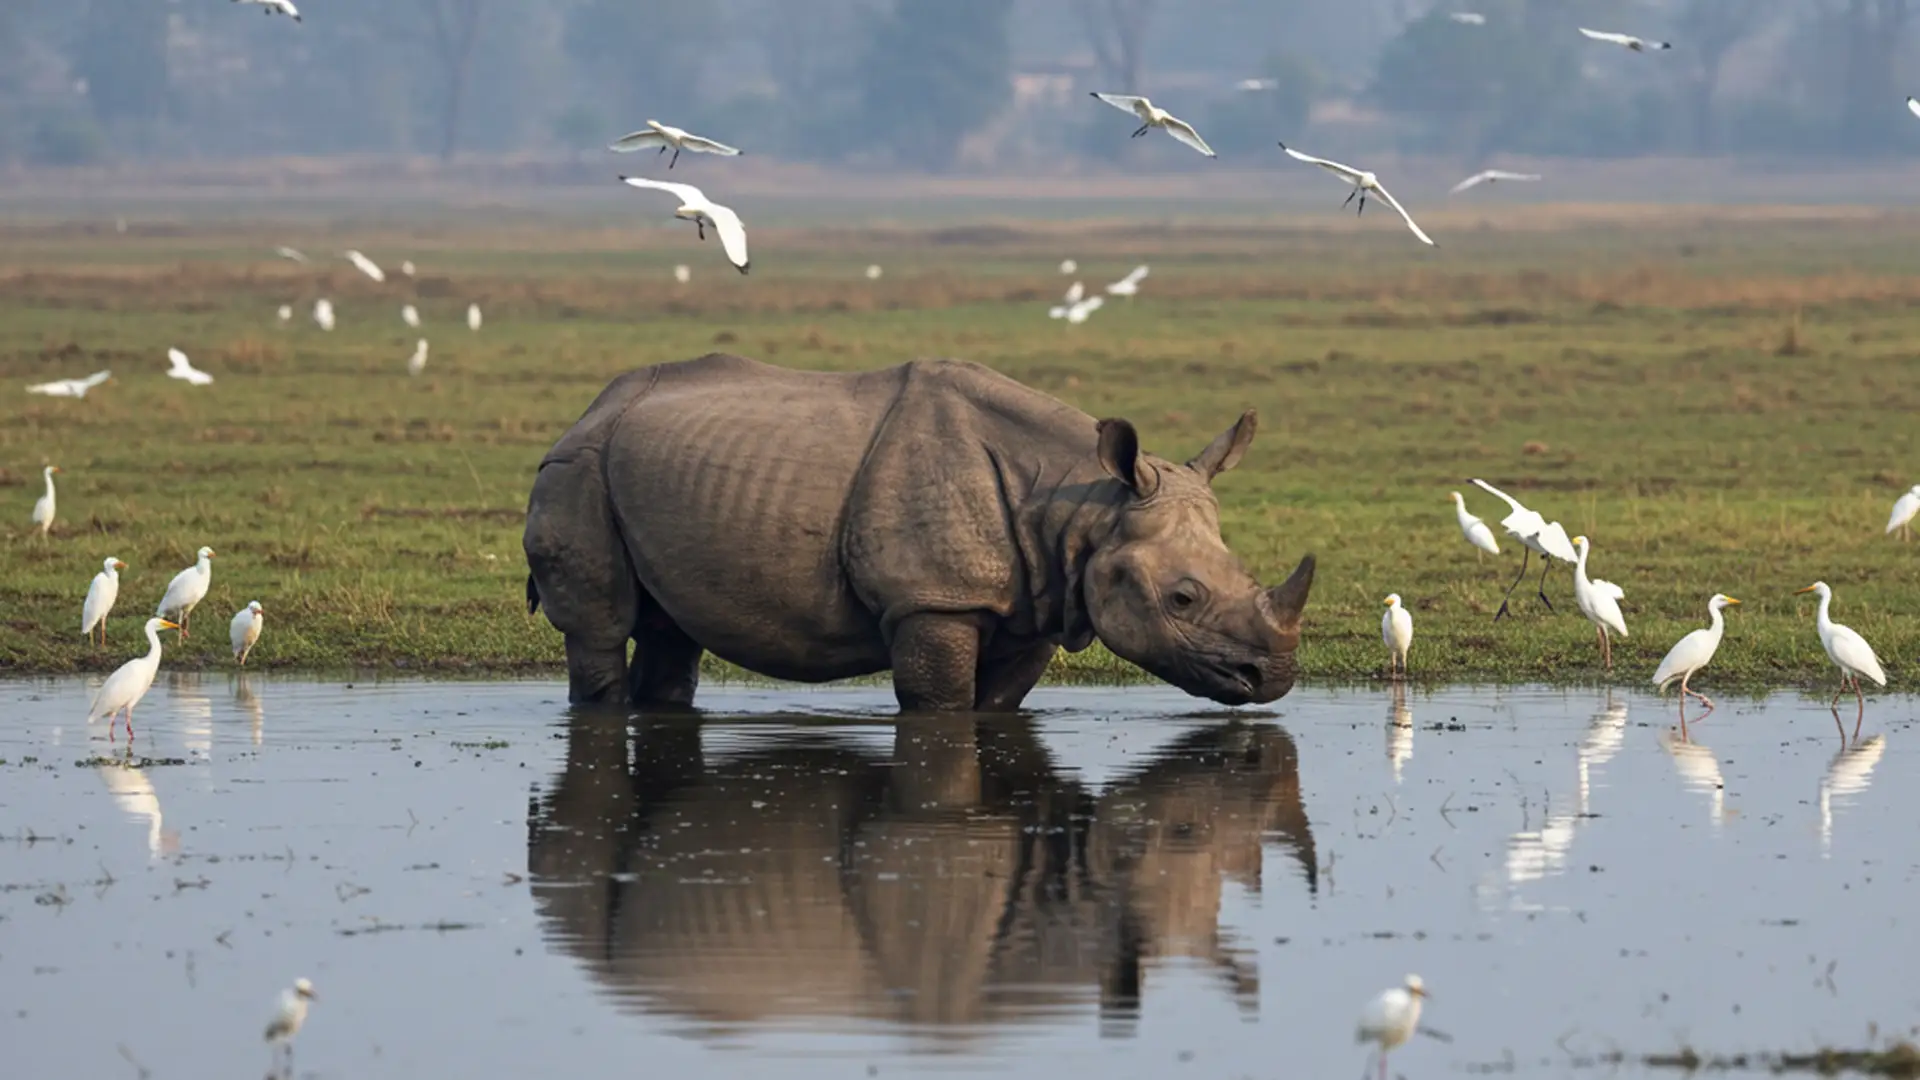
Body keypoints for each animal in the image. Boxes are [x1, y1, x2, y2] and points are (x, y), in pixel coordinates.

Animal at [523, 353, 1314, 711]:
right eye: (1182, 599)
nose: (1272, 678)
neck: (1083, 508)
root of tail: (592, 407)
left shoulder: (1039, 597)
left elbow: (995, 704)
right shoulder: (933, 599)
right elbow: (939, 703)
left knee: (670, 630)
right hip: (575, 468)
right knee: (599, 629)